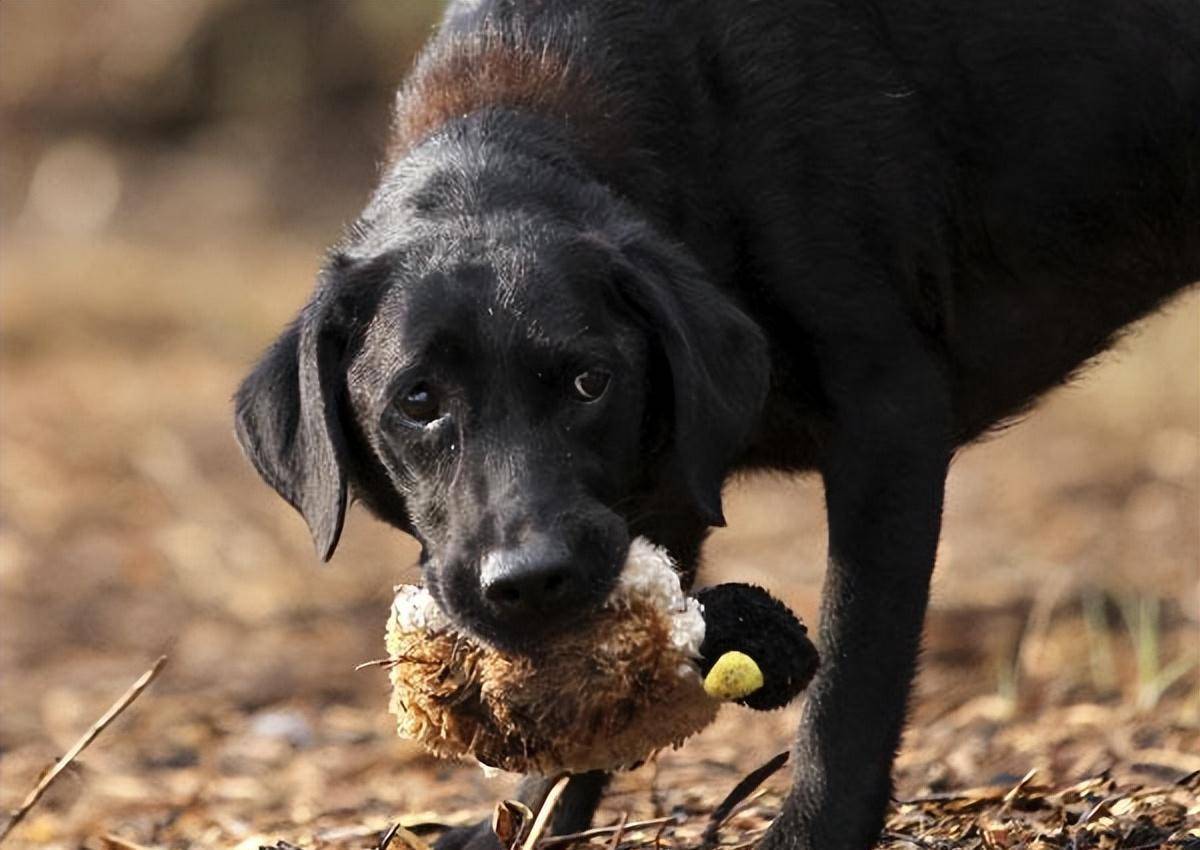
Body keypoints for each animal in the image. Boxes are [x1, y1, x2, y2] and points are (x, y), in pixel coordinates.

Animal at [236, 3, 1200, 845]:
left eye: (590, 382)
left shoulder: (891, 426)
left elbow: (851, 681)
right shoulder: (658, 495)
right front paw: (520, 824)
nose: (530, 580)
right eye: (418, 401)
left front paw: (810, 835)